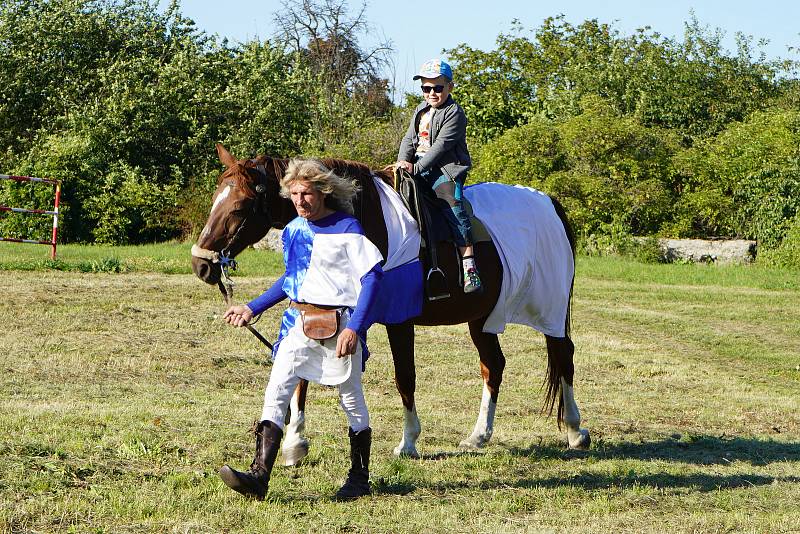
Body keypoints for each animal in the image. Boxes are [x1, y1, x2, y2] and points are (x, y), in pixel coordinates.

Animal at [191, 144, 592, 466]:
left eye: (239, 206)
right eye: (215, 198)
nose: (201, 264)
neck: (362, 220)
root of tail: (548, 203)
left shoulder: (398, 320)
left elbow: (405, 377)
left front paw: (409, 442)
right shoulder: (322, 310)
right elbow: (302, 372)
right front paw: (294, 443)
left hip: (552, 307)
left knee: (563, 355)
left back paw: (575, 430)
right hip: (482, 317)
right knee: (493, 366)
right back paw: (479, 435)